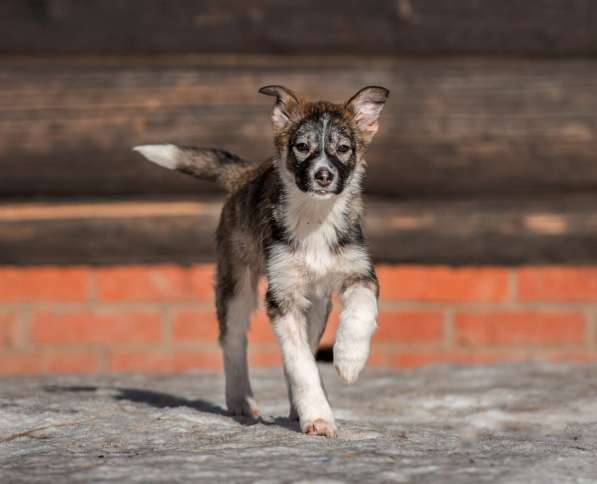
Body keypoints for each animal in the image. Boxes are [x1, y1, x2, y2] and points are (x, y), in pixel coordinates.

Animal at [133, 85, 388, 436]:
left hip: (317, 304)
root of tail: (245, 175)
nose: (323, 175)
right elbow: (301, 365)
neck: (315, 219)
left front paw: (349, 360)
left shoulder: (359, 273)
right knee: (233, 340)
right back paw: (241, 400)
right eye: (302, 147)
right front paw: (318, 417)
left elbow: (360, 313)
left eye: (343, 148)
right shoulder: (282, 297)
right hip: (236, 284)